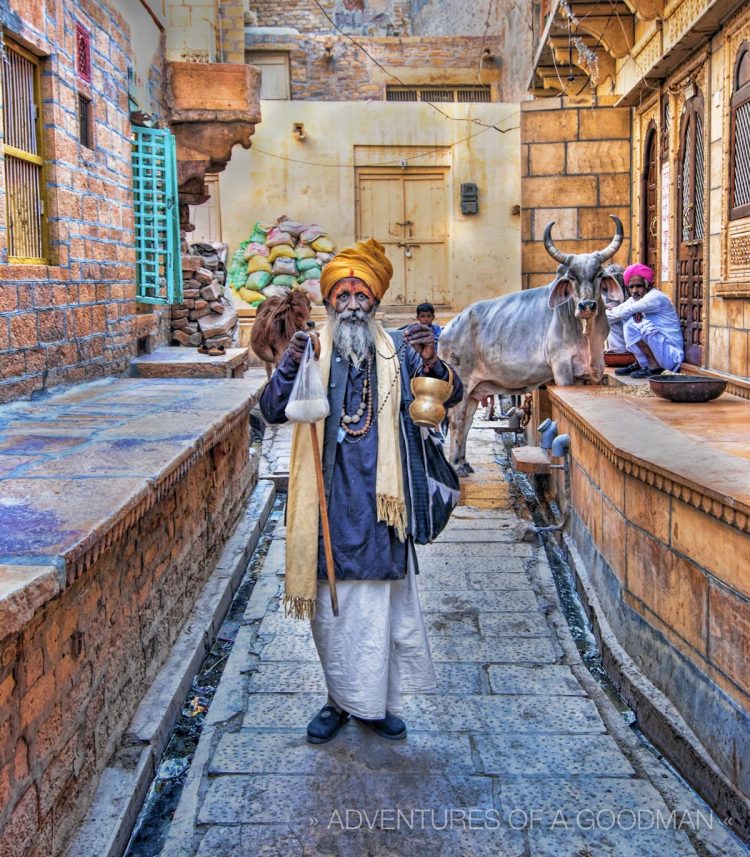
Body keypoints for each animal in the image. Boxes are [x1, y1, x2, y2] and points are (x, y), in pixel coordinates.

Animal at [444, 214, 624, 474]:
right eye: (571, 277)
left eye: (599, 274)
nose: (587, 306)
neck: (586, 336)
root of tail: (447, 328)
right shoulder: (562, 368)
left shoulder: (595, 370)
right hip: (462, 383)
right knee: (457, 420)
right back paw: (456, 465)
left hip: (475, 391)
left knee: (467, 420)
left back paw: (464, 462)